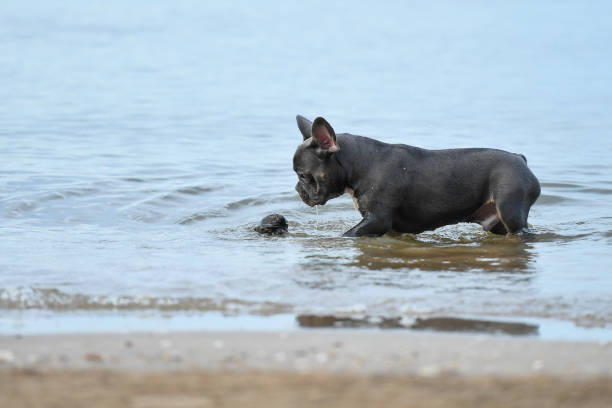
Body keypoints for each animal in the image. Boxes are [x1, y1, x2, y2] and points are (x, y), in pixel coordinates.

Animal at [294, 115, 536, 237]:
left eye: (304, 176)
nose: (297, 189)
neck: (359, 164)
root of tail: (520, 159)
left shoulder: (377, 220)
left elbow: (347, 235)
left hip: (510, 211)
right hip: (497, 222)